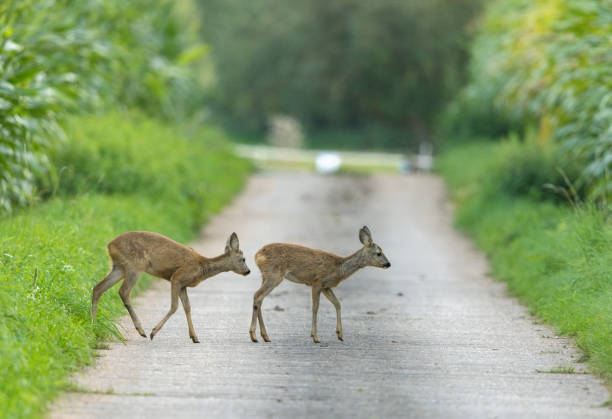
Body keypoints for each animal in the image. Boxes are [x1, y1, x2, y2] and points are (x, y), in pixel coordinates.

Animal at [92, 231, 250, 342]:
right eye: (243, 259)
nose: (248, 271)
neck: (202, 267)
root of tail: (109, 245)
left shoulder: (183, 285)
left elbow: (187, 307)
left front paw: (194, 337)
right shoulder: (177, 278)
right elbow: (175, 306)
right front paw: (153, 332)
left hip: (119, 267)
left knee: (98, 288)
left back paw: (93, 324)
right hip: (135, 266)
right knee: (123, 291)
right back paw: (141, 330)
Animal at [250, 226, 390, 344]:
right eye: (378, 253)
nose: (388, 264)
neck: (339, 268)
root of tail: (257, 255)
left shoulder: (326, 286)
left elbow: (337, 304)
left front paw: (339, 334)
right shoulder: (317, 282)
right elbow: (315, 308)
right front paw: (315, 337)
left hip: (266, 276)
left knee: (259, 298)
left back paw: (265, 336)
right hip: (274, 276)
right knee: (257, 295)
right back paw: (254, 336)